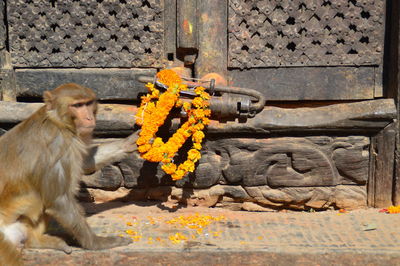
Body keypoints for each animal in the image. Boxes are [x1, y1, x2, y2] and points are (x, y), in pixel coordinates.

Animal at [0, 82, 138, 264]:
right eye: (77, 106)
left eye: (87, 103)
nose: (89, 118)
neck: (58, 121)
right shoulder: (57, 146)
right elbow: (59, 200)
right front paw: (97, 243)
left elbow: (85, 162)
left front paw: (128, 143)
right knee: (42, 196)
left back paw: (35, 241)